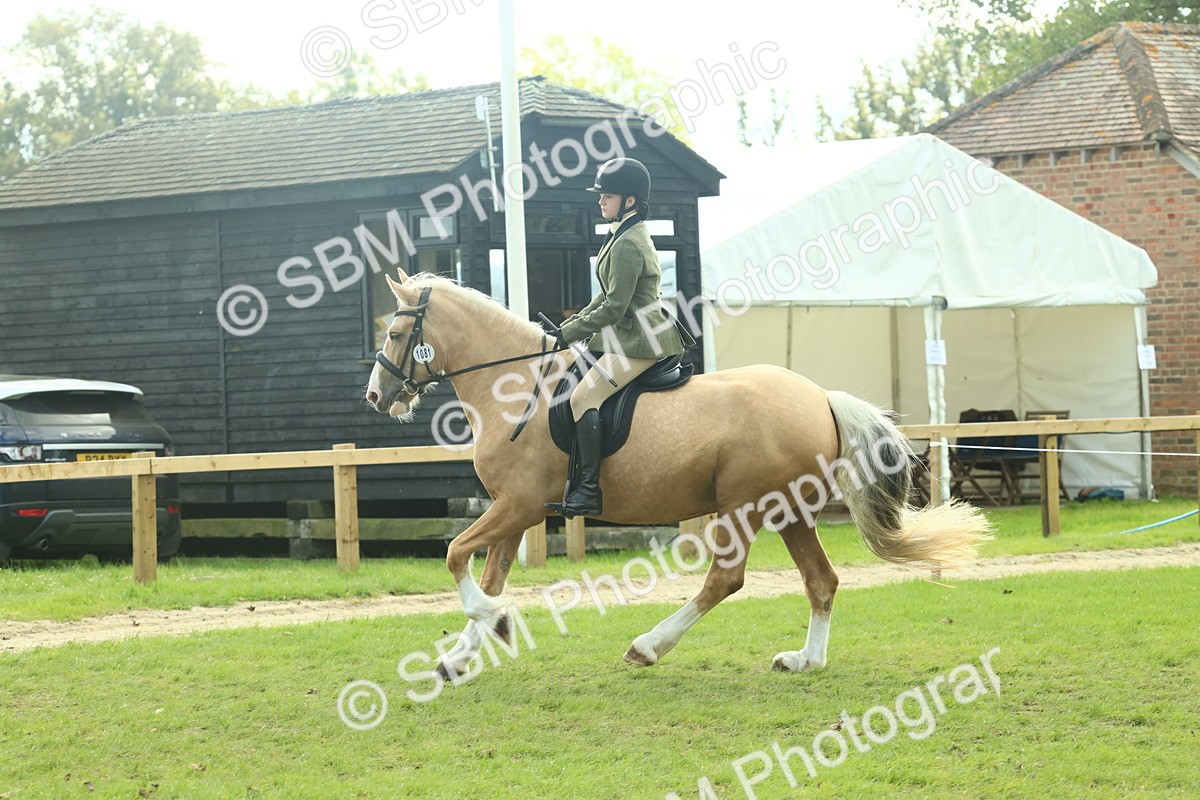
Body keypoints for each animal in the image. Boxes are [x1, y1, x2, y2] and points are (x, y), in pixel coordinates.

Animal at [365, 269, 992, 678]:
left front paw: (494, 623)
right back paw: (805, 661)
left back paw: (648, 646)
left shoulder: (515, 506)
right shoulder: (515, 512)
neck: (515, 386)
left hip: (742, 506)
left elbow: (455, 557)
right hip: (789, 510)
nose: (376, 396)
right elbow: (488, 575)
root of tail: (819, 397)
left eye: (394, 333)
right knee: (822, 580)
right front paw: (461, 655)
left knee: (727, 579)